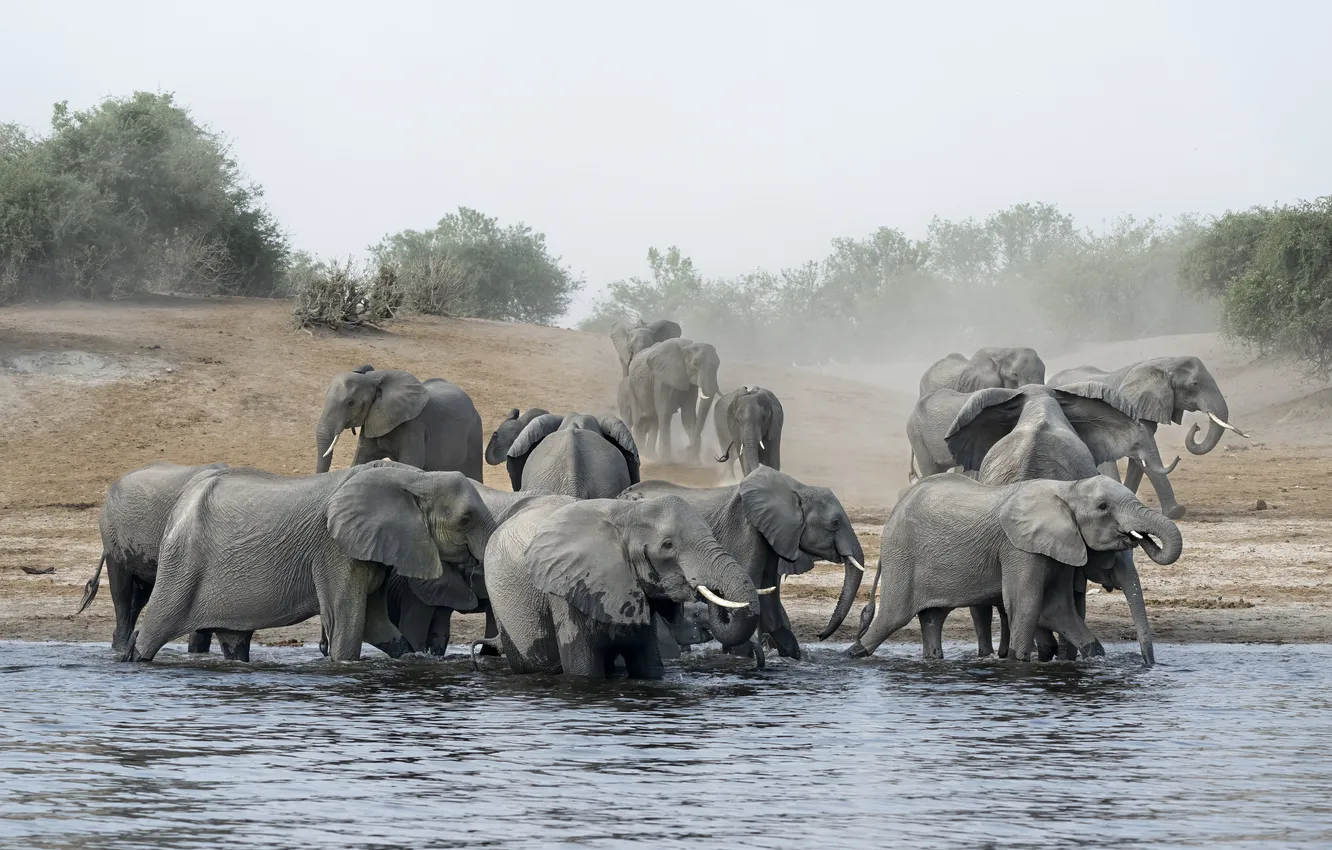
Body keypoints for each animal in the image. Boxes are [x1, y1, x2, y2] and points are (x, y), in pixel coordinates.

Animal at [122, 461, 496, 663]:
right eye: (465, 520)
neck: (416, 476)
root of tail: (181, 504)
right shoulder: (334, 549)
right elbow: (347, 624)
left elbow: (379, 627)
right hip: (183, 563)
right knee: (153, 630)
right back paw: (133, 657)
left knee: (234, 639)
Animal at [314, 365, 483, 479]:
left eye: (350, 403)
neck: (372, 378)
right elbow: (360, 461)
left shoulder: (414, 427)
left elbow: (410, 464)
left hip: (474, 434)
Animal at [620, 466, 865, 663]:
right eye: (835, 523)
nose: (820, 636)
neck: (797, 489)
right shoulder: (745, 530)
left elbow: (770, 607)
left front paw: (793, 658)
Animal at [848, 474, 1182, 662]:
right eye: (1103, 507)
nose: (1147, 663)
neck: (1067, 489)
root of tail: (893, 512)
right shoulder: (1018, 548)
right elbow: (1027, 605)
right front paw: (1018, 662)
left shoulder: (1058, 548)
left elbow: (1057, 608)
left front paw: (1096, 658)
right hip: (903, 555)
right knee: (892, 618)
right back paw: (853, 655)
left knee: (932, 618)